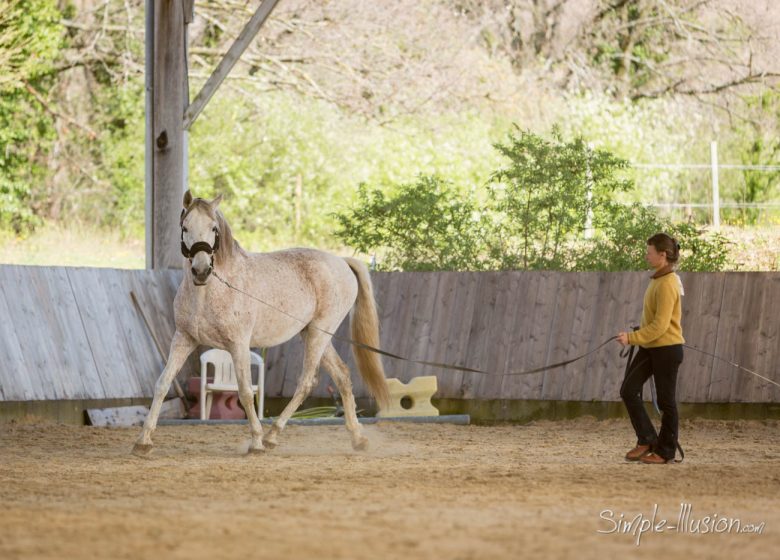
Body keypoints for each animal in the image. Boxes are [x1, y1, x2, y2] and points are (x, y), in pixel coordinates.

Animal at [136, 191, 390, 456]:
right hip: (313, 333)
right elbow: (162, 384)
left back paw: (271, 436)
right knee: (342, 375)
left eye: (214, 228)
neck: (209, 291)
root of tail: (341, 261)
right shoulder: (183, 339)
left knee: (306, 382)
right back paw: (357, 438)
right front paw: (143, 441)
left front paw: (256, 442)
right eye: (185, 227)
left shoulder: (238, 345)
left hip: (319, 334)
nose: (201, 270)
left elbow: (246, 392)